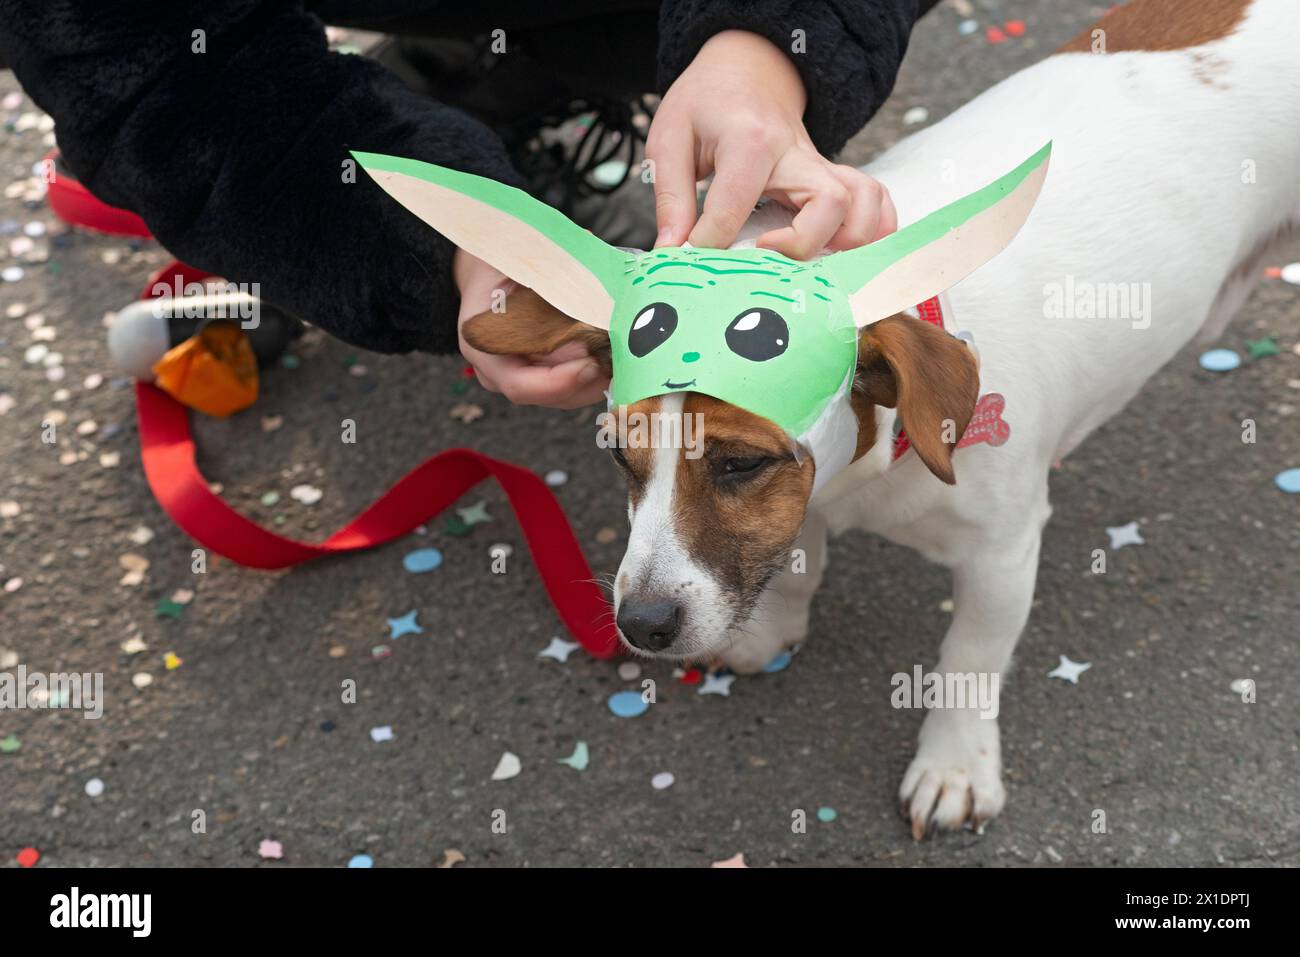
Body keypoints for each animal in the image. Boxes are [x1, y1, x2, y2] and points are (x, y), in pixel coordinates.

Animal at [462, 0, 1294, 837]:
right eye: (617, 456)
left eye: (741, 462)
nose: (642, 624)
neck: (875, 464)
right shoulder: (810, 500)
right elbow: (798, 560)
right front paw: (771, 628)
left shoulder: (1001, 554)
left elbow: (969, 658)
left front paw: (955, 764)